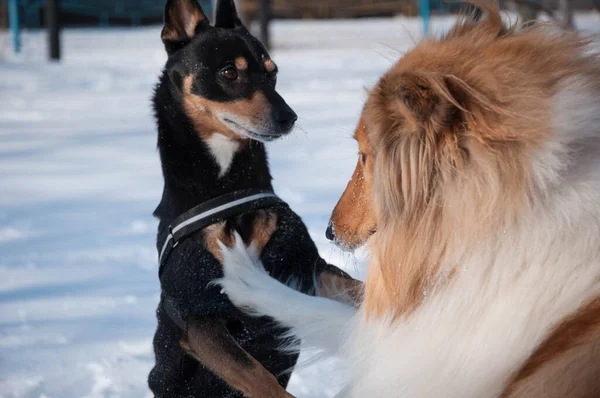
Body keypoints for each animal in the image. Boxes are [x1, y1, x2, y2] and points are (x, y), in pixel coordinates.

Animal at [149, 0, 360, 398]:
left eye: (272, 73)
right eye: (229, 72)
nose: (289, 117)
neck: (230, 189)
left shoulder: (305, 267)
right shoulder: (200, 319)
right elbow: (260, 378)